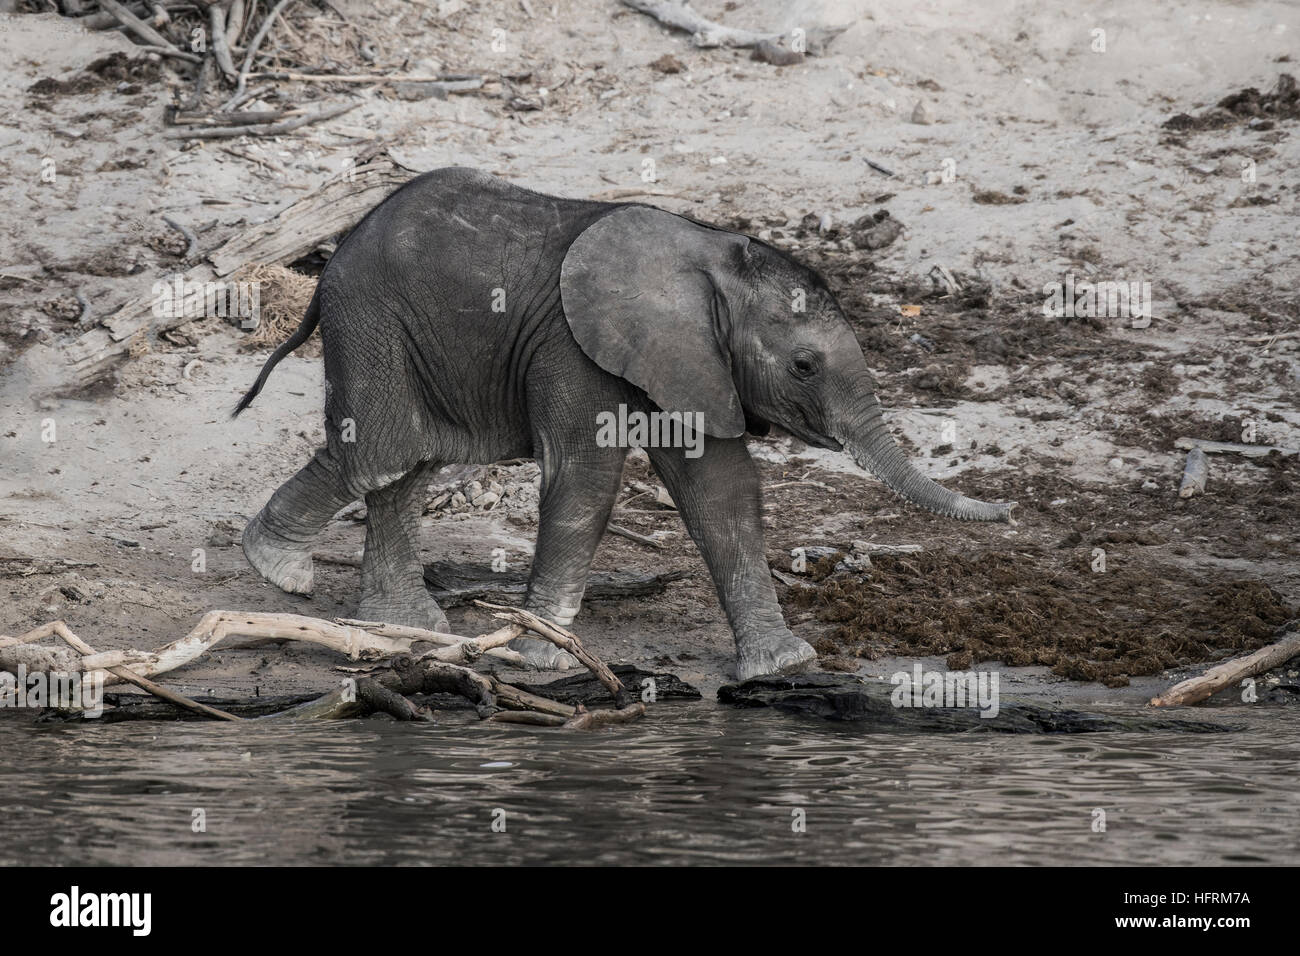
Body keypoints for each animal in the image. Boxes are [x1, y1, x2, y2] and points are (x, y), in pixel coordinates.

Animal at [239, 170, 1019, 681]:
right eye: (803, 366)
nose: (1007, 514)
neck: (708, 256)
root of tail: (333, 255)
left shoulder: (693, 361)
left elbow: (721, 489)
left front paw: (781, 666)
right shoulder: (570, 347)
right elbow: (585, 479)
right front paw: (543, 659)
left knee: (409, 464)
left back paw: (407, 628)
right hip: (371, 320)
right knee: (382, 451)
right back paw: (278, 569)